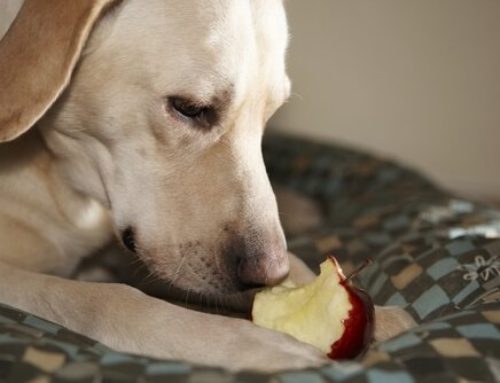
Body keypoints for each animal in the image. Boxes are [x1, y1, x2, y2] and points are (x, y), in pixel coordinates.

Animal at [0, 0, 414, 372]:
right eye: (189, 108)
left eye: (269, 116)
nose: (269, 273)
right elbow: (102, 299)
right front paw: (250, 344)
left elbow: (295, 265)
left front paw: (368, 311)